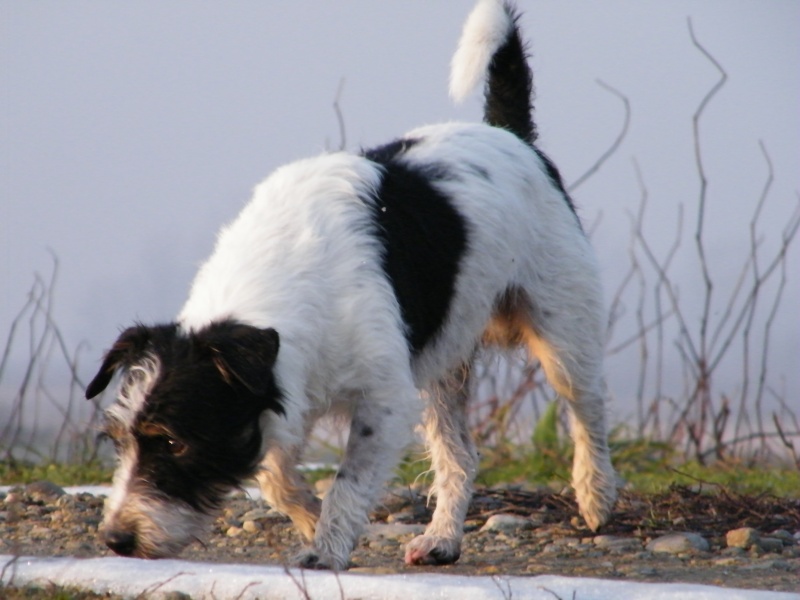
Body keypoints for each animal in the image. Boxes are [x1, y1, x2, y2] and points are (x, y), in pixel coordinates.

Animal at [84, 0, 616, 568]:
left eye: (172, 442)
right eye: (117, 442)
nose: (116, 540)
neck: (287, 277)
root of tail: (512, 137)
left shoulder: (385, 401)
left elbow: (349, 481)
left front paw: (327, 548)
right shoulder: (290, 390)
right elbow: (275, 477)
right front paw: (311, 521)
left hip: (563, 333)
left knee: (587, 410)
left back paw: (596, 496)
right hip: (442, 364)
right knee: (460, 455)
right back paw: (442, 539)